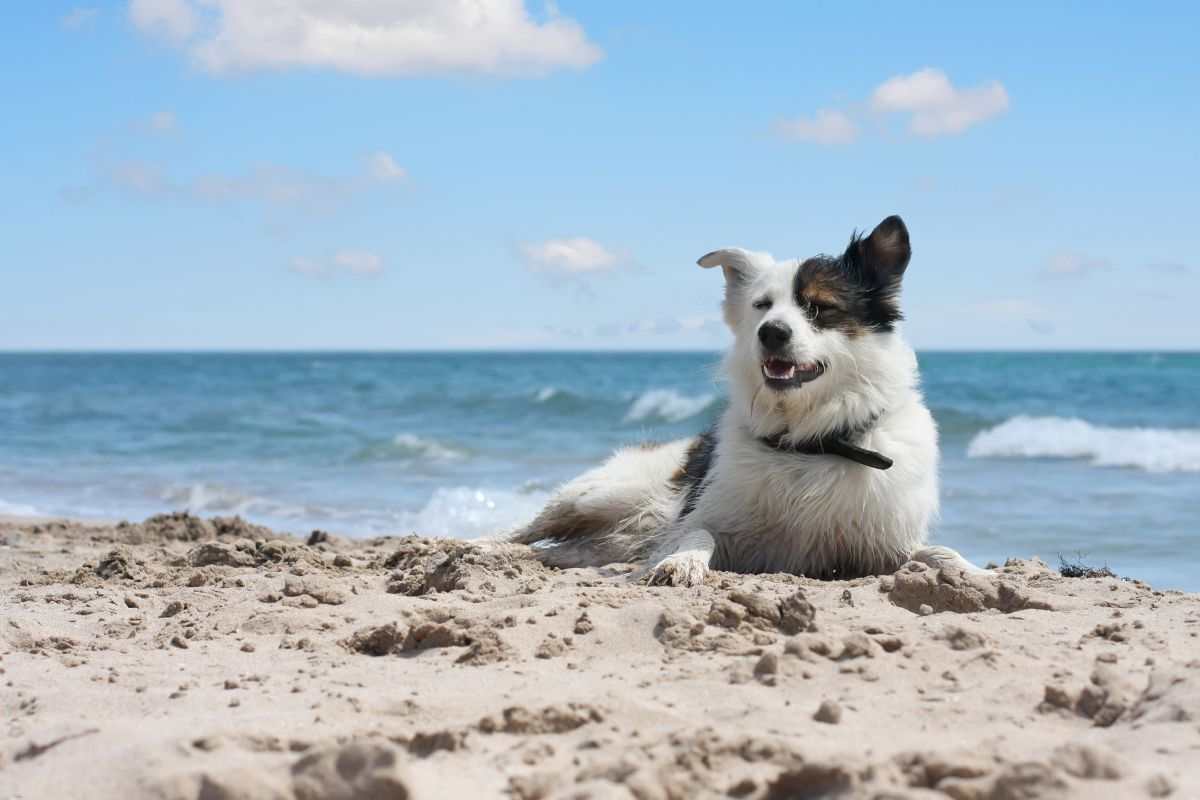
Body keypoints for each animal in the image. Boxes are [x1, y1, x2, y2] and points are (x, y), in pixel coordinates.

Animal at [511, 215, 979, 585]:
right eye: (762, 305)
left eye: (819, 307)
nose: (771, 332)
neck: (807, 440)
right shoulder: (706, 519)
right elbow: (697, 533)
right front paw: (681, 562)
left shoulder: (883, 542)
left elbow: (938, 552)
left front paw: (972, 571)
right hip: (599, 496)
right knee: (527, 530)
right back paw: (495, 548)